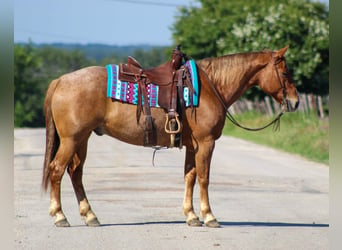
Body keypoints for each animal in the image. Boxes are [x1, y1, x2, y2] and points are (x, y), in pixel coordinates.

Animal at [42, 45, 300, 229]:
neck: (210, 87)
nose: (295, 102)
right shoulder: (206, 143)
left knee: (75, 173)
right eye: (285, 72)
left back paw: (90, 216)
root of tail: (60, 81)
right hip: (72, 140)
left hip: (82, 140)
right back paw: (60, 216)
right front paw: (209, 216)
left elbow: (190, 176)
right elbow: (204, 178)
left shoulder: (192, 146)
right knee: (57, 170)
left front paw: (191, 216)